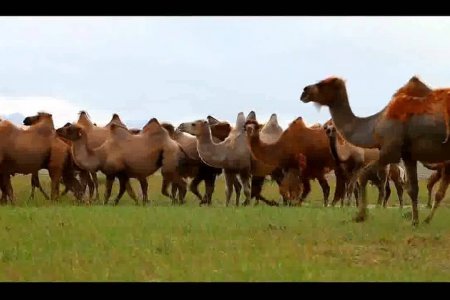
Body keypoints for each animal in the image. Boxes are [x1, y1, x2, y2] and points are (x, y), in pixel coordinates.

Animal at [300, 75, 450, 225]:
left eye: (324, 83)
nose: (304, 91)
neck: (375, 125)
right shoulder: (408, 155)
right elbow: (413, 189)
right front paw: (415, 222)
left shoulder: (390, 150)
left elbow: (363, 175)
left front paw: (361, 215)